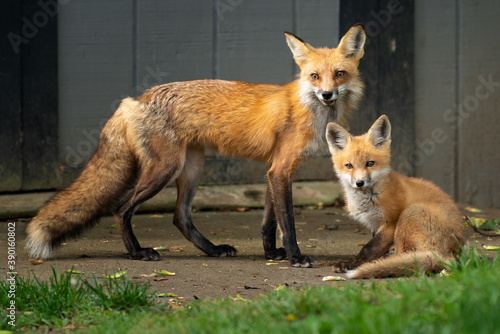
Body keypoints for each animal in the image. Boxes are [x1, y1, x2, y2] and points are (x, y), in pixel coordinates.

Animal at [25, 24, 366, 266]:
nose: (327, 94)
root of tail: (135, 99)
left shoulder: (275, 170)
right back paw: (138, 252)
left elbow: (269, 222)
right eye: (314, 76)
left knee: (180, 217)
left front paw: (272, 254)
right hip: (165, 169)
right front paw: (295, 257)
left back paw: (212, 250)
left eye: (339, 74)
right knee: (121, 208)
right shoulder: (281, 170)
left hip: (191, 169)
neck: (307, 107)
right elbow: (288, 222)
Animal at [324, 115, 464, 276]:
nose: (360, 182)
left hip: (409, 214)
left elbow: (369, 248)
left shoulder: (390, 223)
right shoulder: (376, 225)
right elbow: (376, 248)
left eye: (370, 163)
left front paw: (351, 264)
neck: (370, 198)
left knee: (405, 254)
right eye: (349, 165)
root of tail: (449, 258)